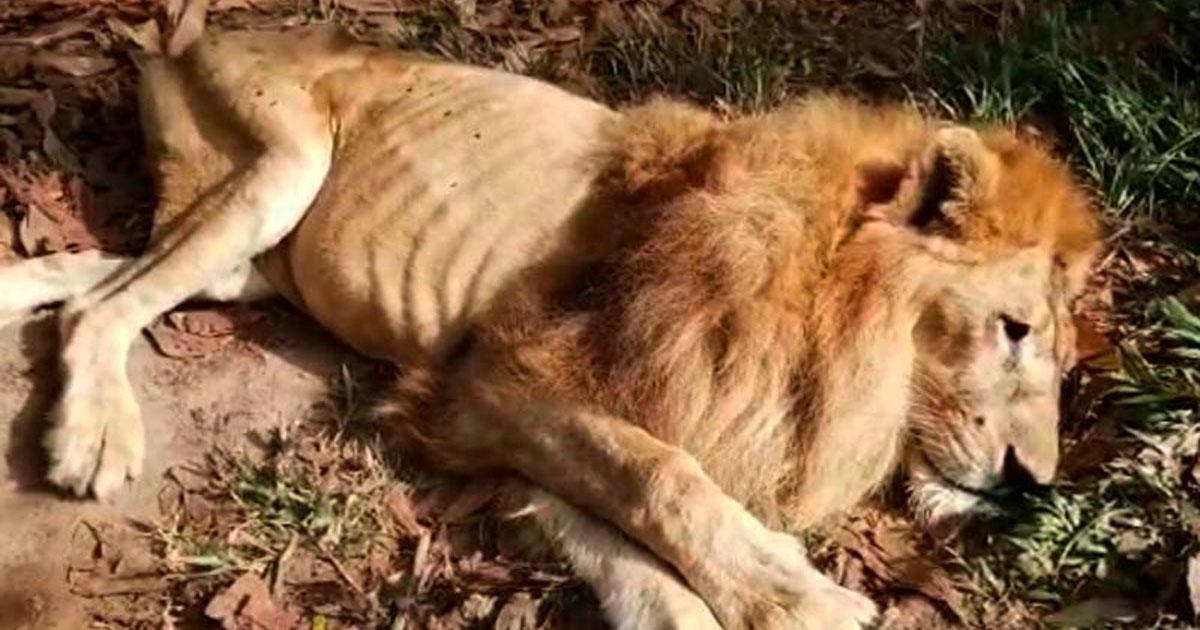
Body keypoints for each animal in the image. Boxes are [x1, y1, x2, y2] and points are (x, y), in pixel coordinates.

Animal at [0, 8, 1100, 630]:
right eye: (1014, 329)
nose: (1032, 482)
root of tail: (195, 32)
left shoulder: (502, 411)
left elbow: (627, 533)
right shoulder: (506, 378)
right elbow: (664, 481)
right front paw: (800, 600)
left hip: (245, 266)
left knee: (96, 277)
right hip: (283, 160)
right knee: (102, 308)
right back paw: (93, 435)